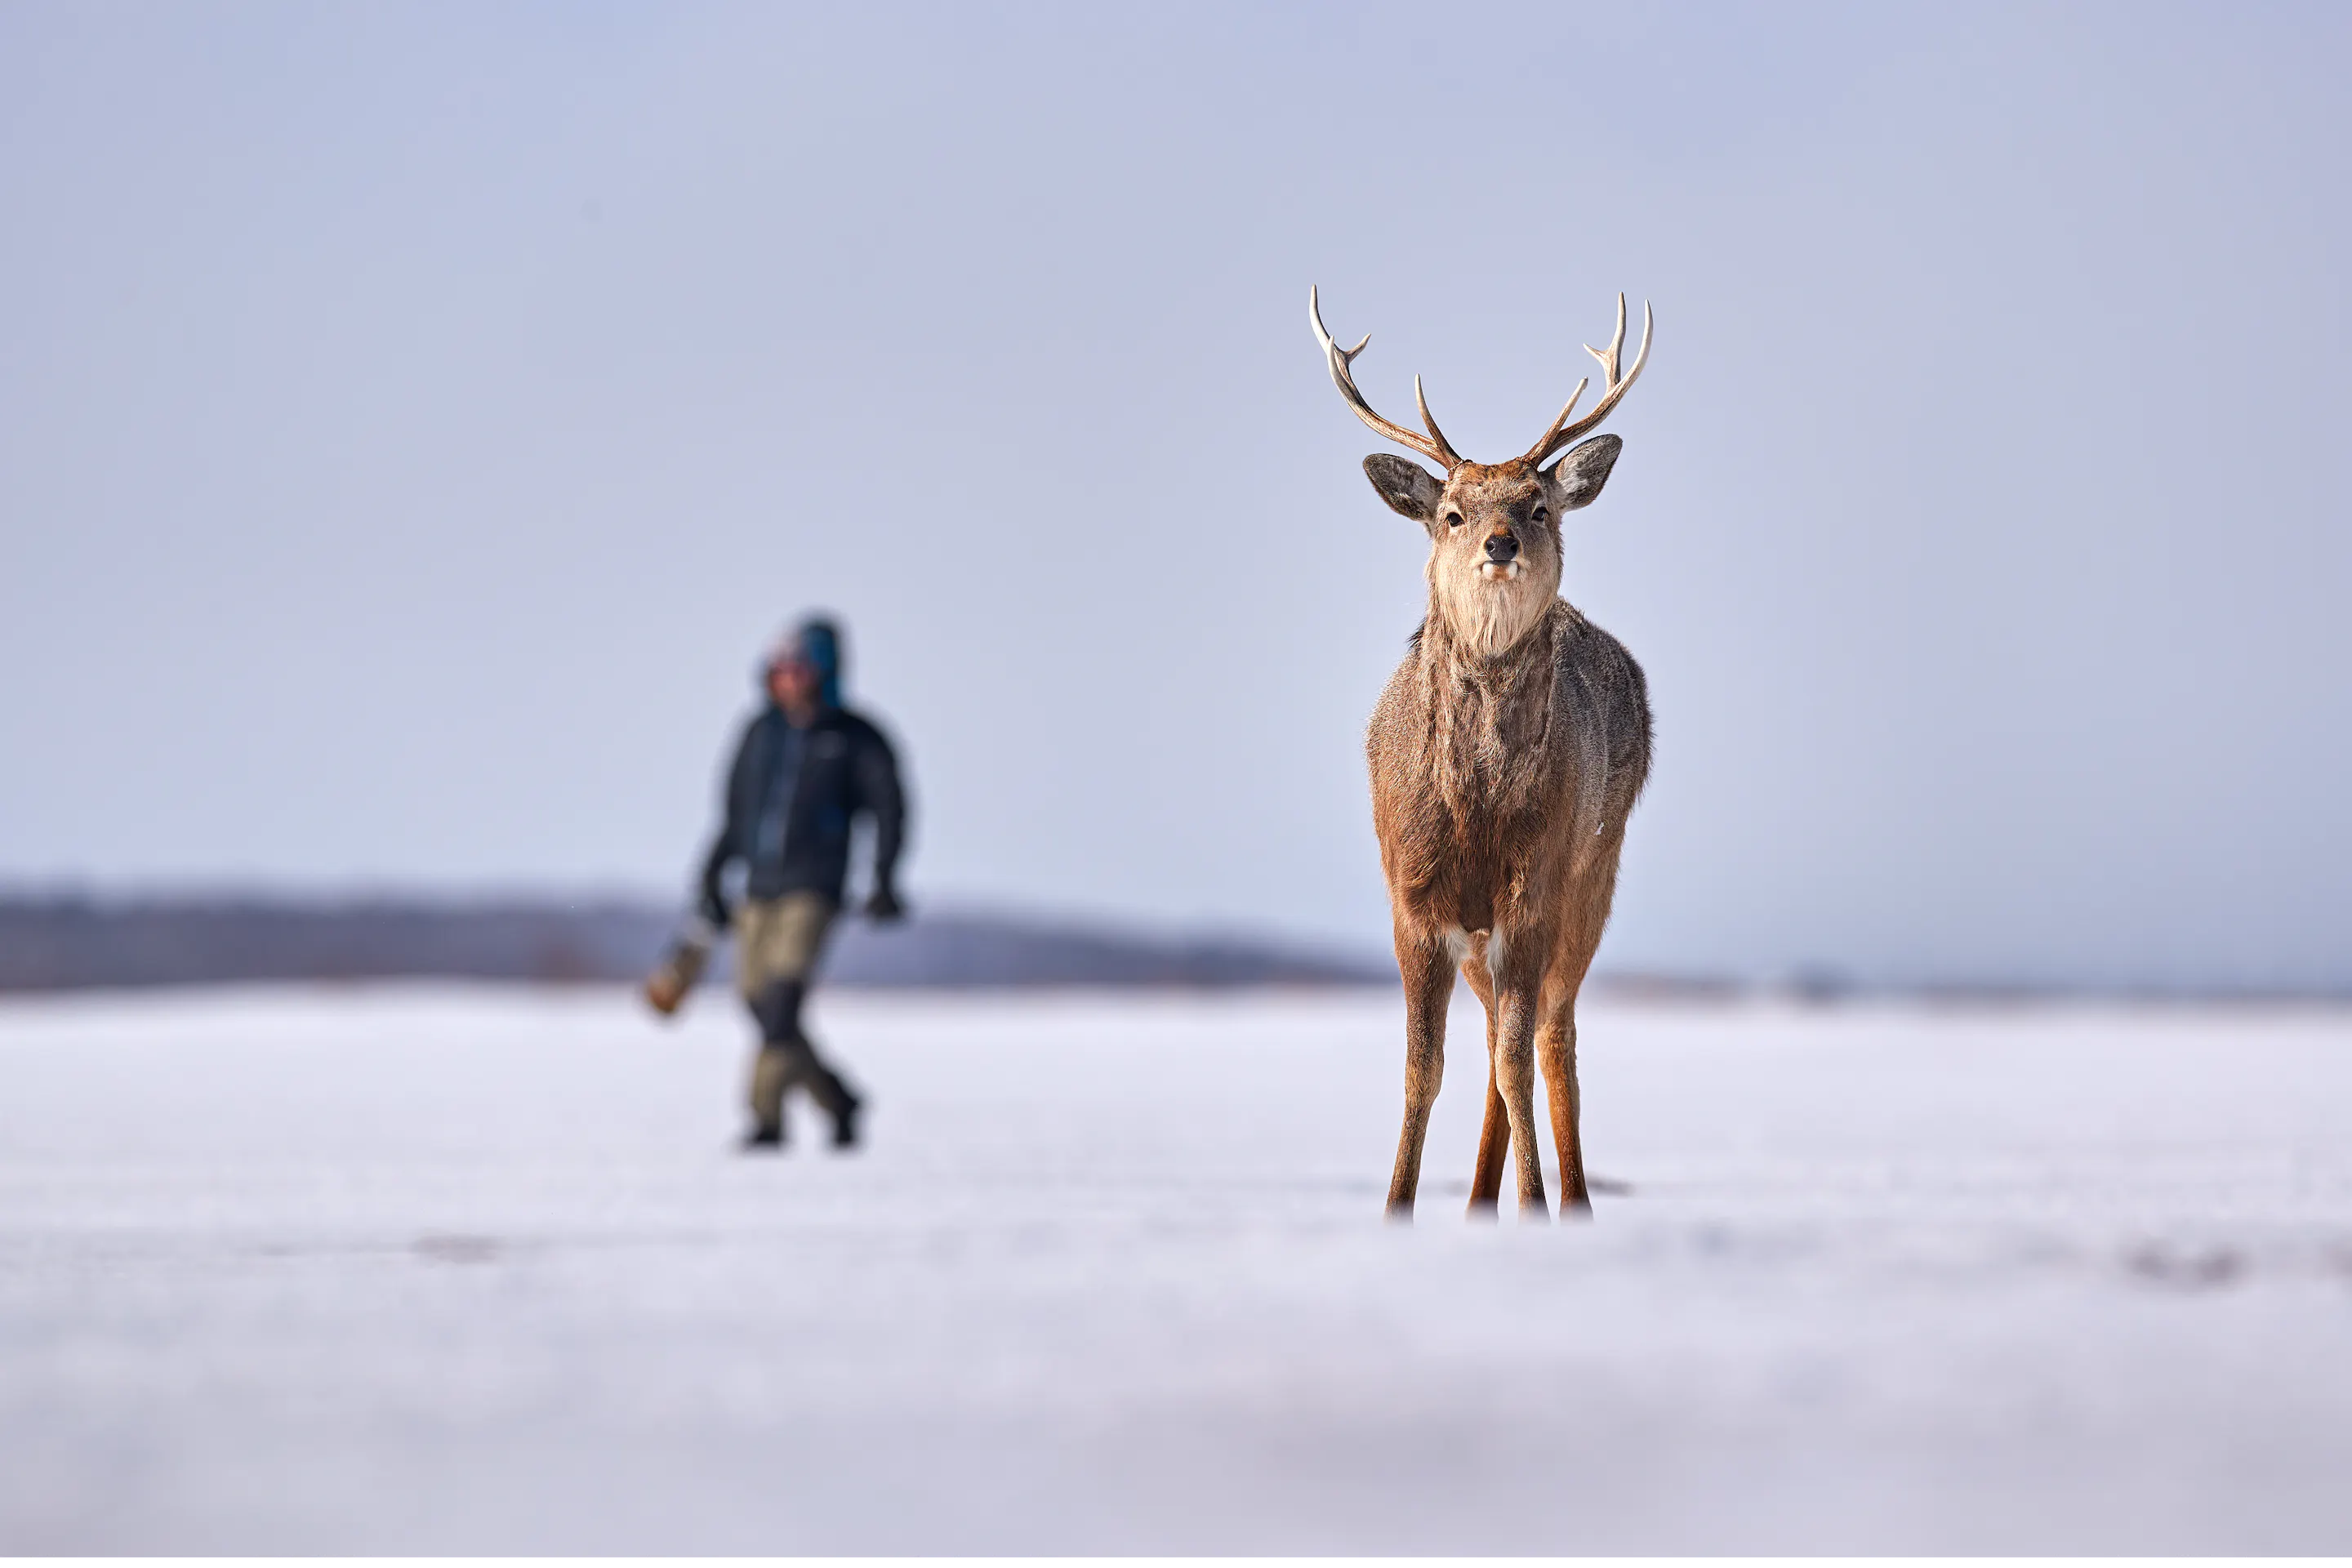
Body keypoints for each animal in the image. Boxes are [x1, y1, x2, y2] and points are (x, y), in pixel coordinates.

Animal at [1310, 287, 1655, 1221]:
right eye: (1451, 514)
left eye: (1539, 505)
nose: (1500, 542)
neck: (1476, 810)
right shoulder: (1415, 899)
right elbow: (1422, 1069)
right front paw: (1397, 1207)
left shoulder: (1533, 890)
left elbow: (1513, 1061)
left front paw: (1536, 1203)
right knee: (1511, 1033)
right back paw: (1475, 1199)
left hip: (1594, 873)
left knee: (1550, 1035)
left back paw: (1570, 1200)